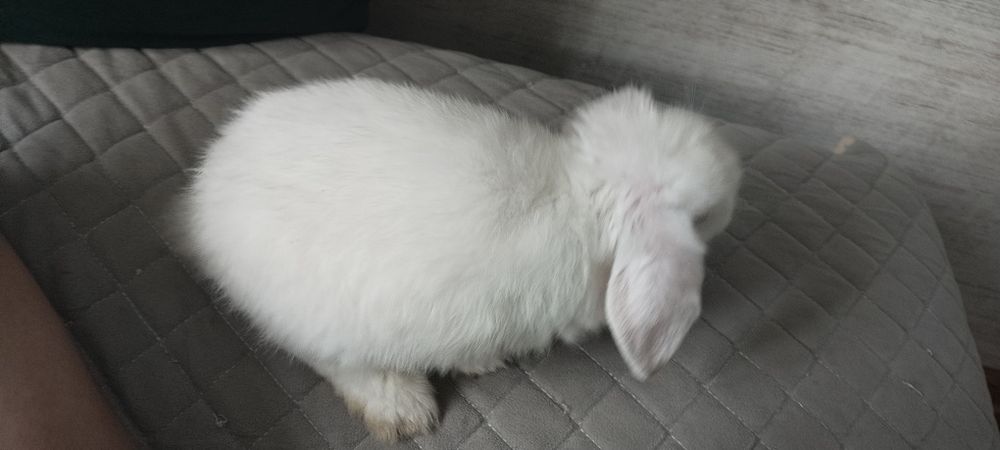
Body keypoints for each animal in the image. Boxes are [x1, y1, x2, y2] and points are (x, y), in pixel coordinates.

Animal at [182, 78, 742, 441]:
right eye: (704, 215)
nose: (738, 171)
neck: (580, 197)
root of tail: (200, 200)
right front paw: (485, 362)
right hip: (329, 319)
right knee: (339, 365)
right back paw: (403, 409)